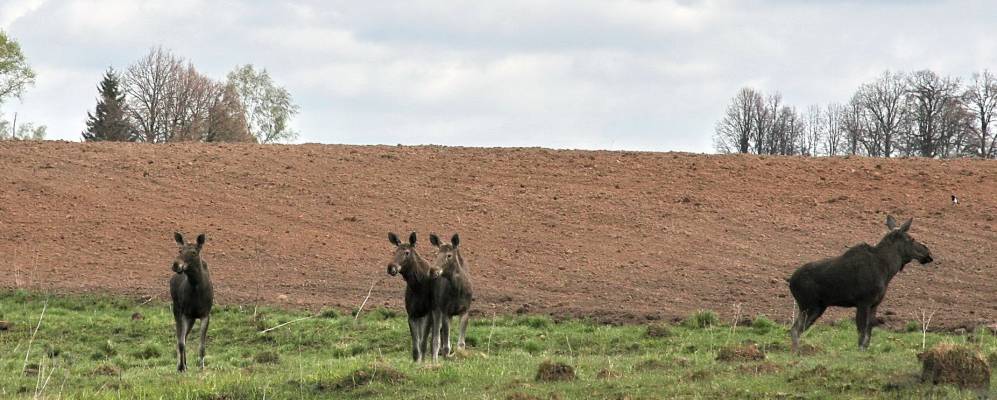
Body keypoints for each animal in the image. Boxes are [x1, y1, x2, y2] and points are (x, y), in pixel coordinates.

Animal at [169, 231, 214, 372]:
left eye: (194, 252)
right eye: (180, 250)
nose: (176, 264)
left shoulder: (205, 314)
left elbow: (202, 346)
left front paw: (201, 366)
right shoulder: (184, 314)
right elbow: (181, 343)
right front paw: (181, 367)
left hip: (192, 318)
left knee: (185, 336)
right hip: (177, 309)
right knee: (180, 337)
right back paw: (181, 365)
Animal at [388, 231, 438, 362]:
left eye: (407, 252)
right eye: (395, 251)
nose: (391, 267)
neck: (417, 286)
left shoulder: (428, 314)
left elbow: (424, 343)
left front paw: (424, 362)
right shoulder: (412, 314)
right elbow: (416, 346)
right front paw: (417, 361)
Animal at [784, 214, 932, 352]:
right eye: (911, 239)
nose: (928, 252)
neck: (888, 269)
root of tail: (790, 281)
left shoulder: (874, 304)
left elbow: (868, 332)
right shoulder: (863, 302)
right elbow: (862, 333)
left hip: (818, 307)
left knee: (797, 329)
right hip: (809, 305)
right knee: (795, 329)